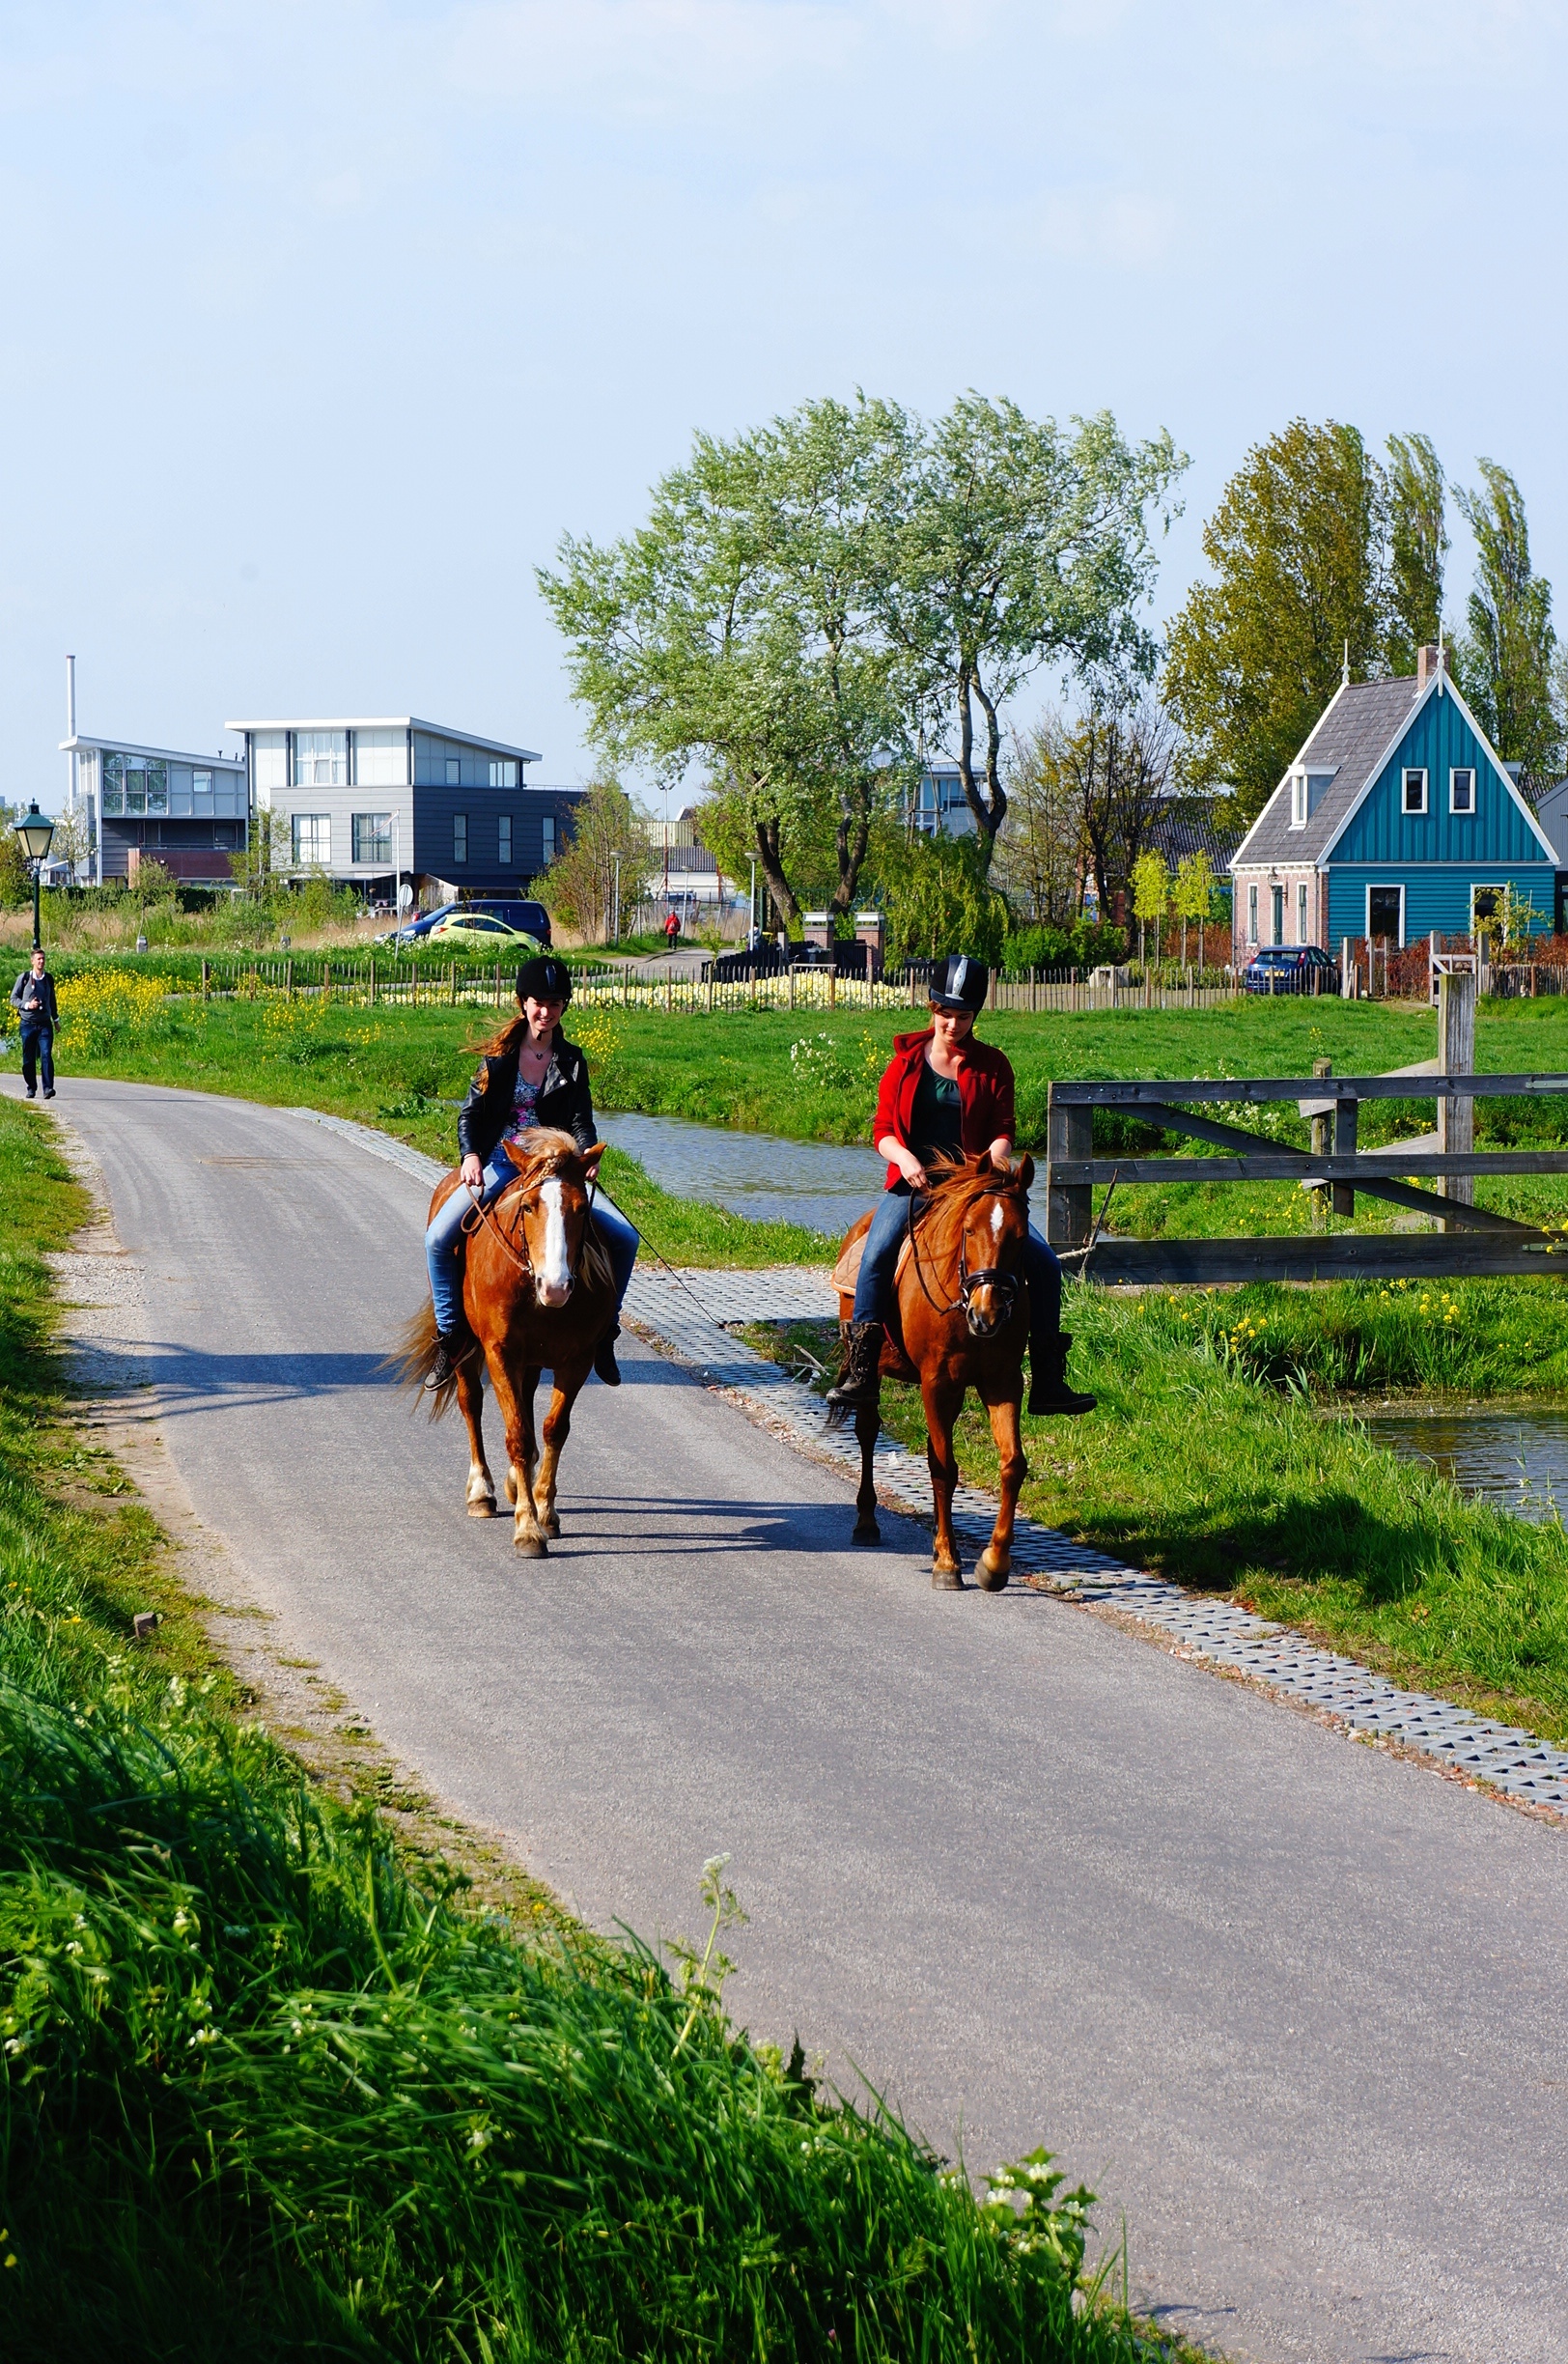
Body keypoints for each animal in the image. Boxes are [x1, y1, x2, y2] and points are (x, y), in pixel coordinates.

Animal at [399, 1135, 619, 1560]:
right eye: (529, 1206)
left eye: (582, 1208)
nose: (556, 1286)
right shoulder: (499, 1353)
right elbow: (516, 1434)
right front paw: (528, 1529)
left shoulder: (577, 1360)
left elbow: (553, 1430)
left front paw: (544, 1510)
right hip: (468, 1349)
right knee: (472, 1404)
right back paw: (481, 1492)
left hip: (531, 1362)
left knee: (527, 1405)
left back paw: (519, 1483)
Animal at [827, 1158, 1035, 1597]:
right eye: (969, 1229)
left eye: (1021, 1236)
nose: (987, 1315)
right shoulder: (936, 1383)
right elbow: (944, 1468)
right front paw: (947, 1563)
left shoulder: (1003, 1381)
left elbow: (1012, 1464)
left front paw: (994, 1563)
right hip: (874, 1374)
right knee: (868, 1432)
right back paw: (866, 1523)